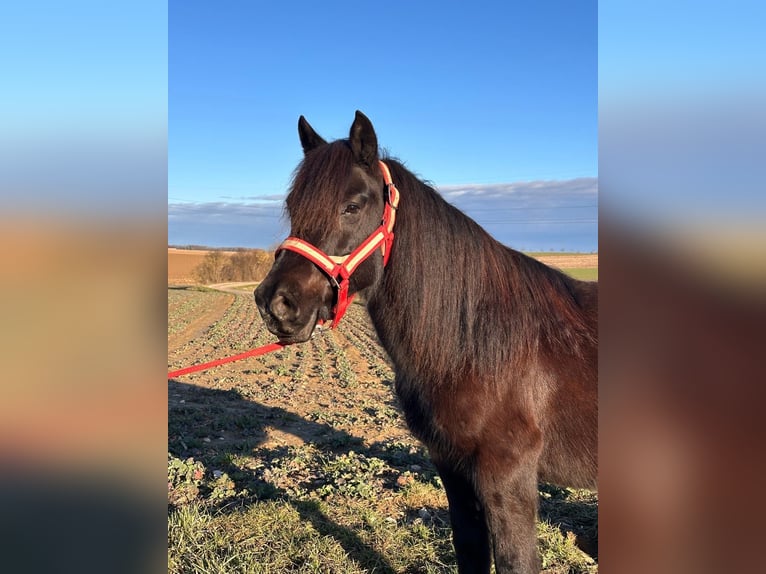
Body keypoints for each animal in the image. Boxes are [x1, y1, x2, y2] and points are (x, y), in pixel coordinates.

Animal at [255, 112, 596, 574]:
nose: (275, 304)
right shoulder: (452, 468)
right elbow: (469, 551)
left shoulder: (508, 476)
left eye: (352, 206)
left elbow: (516, 561)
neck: (473, 347)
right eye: (293, 207)